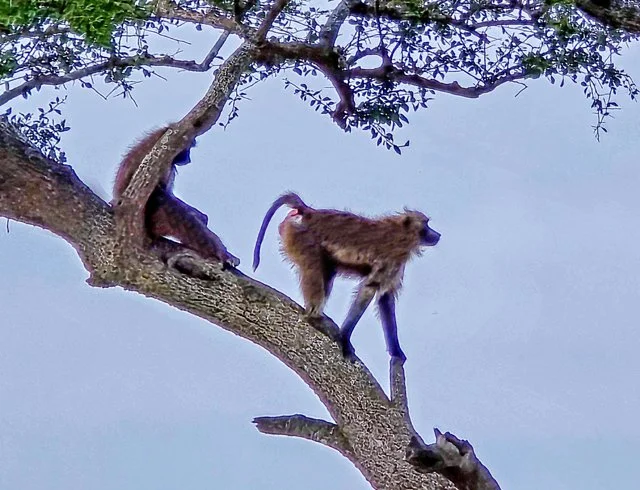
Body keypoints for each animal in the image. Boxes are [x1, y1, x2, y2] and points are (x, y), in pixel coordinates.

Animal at [252, 192, 440, 363]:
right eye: (426, 225)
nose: (437, 235)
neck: (403, 232)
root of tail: (308, 212)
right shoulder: (393, 257)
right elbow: (369, 289)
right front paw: (345, 338)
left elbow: (385, 298)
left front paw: (396, 352)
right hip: (301, 238)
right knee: (314, 268)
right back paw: (314, 315)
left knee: (327, 270)